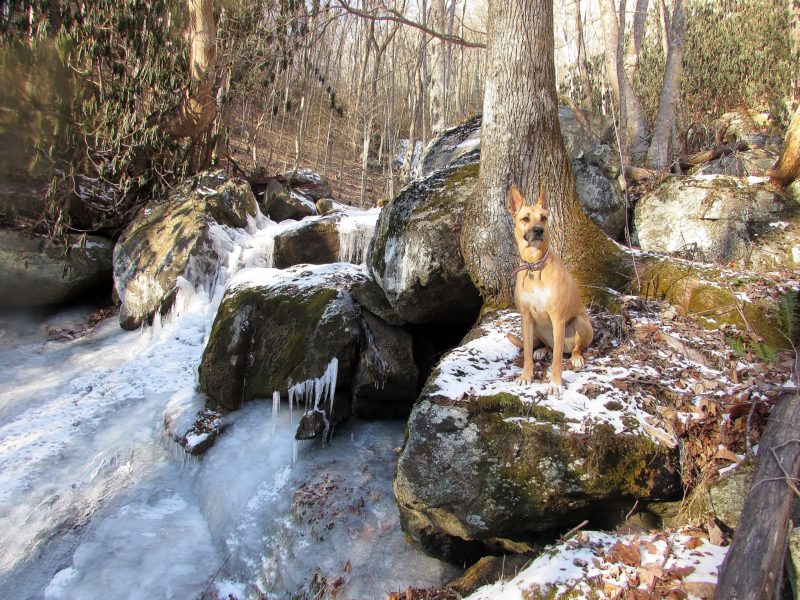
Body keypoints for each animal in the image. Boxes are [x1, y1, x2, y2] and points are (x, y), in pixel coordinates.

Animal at [510, 185, 592, 396]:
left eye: (544, 218)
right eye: (525, 218)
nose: (539, 230)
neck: (534, 266)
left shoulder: (557, 318)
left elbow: (556, 361)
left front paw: (555, 384)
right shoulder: (526, 317)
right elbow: (527, 353)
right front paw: (526, 376)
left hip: (580, 323)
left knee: (573, 349)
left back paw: (576, 357)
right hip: (538, 327)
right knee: (548, 346)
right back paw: (542, 350)